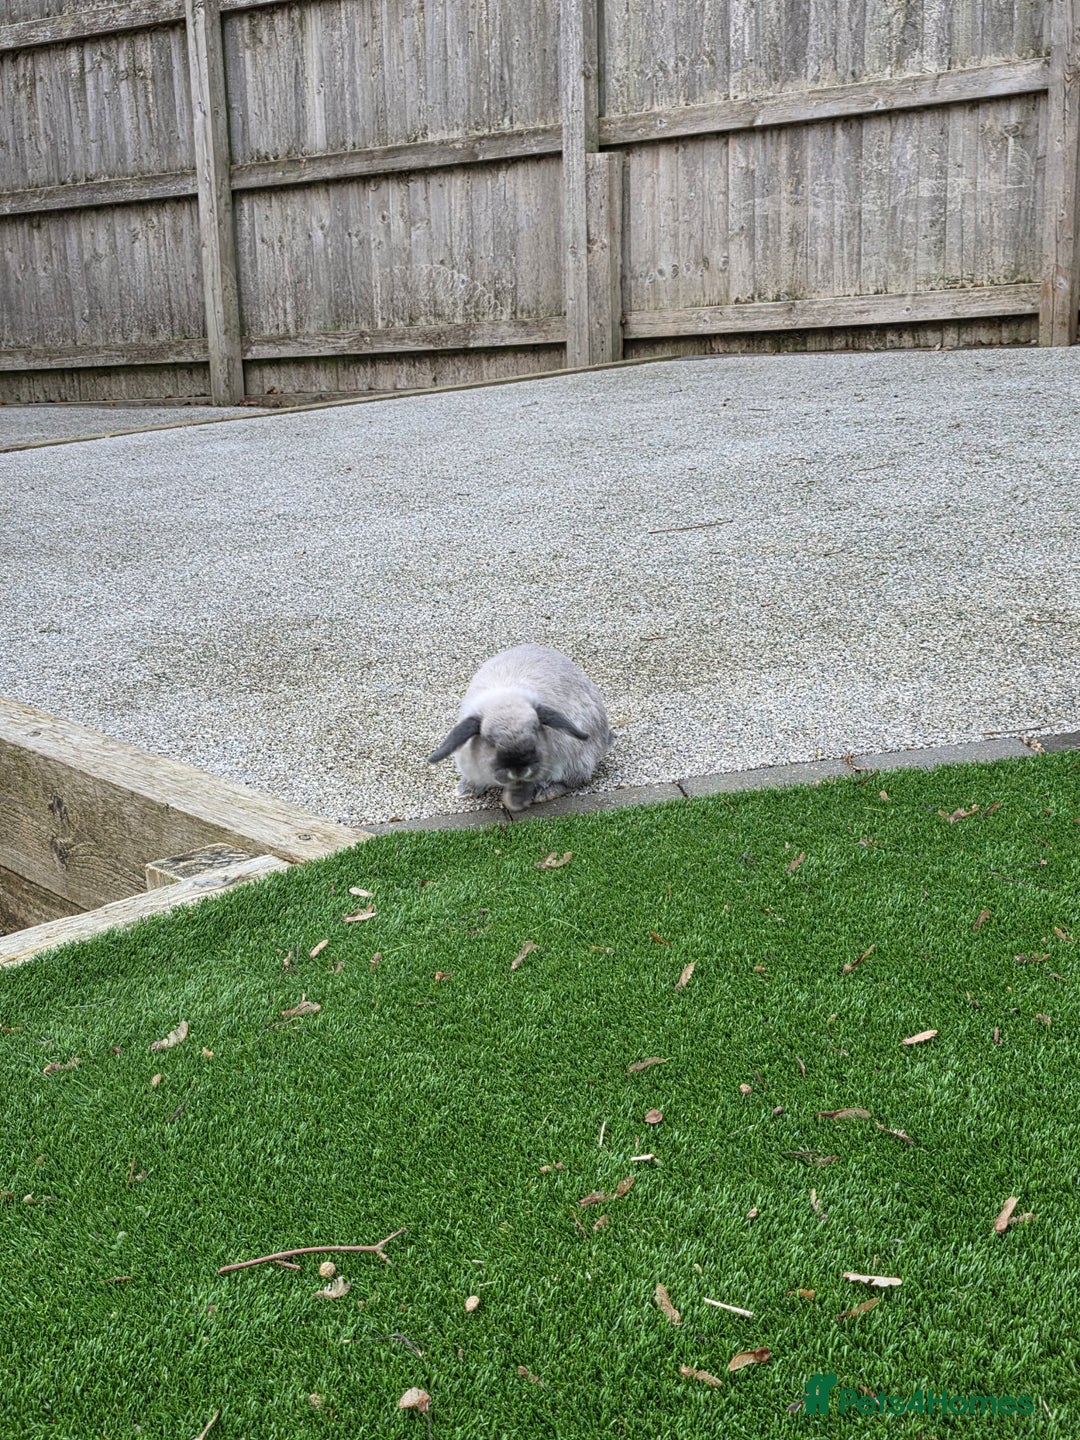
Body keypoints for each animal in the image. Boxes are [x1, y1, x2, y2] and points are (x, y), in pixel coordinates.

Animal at [428, 644, 614, 811]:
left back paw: (545, 793)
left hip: (575, 760)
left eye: (535, 732)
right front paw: (465, 791)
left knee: (575, 781)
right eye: (490, 741)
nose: (519, 770)